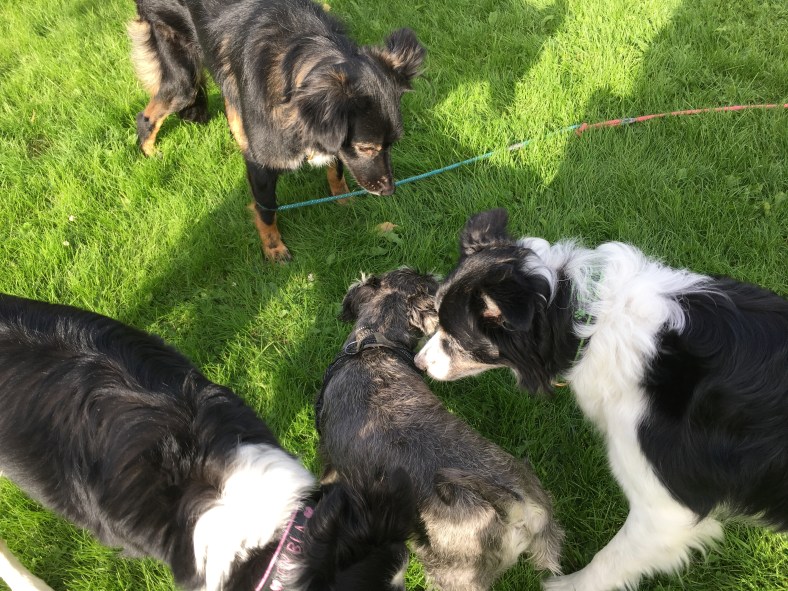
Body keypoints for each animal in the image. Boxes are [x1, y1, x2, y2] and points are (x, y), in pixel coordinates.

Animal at [128, 0, 425, 262]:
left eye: (392, 145)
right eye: (366, 148)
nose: (389, 191)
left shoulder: (334, 141)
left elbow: (336, 170)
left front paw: (344, 201)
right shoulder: (263, 164)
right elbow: (267, 208)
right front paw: (273, 248)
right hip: (185, 80)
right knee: (146, 116)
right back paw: (150, 154)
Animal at [414, 208, 788, 591]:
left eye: (454, 339)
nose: (418, 363)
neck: (586, 320)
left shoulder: (666, 507)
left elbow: (609, 560)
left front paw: (564, 584)